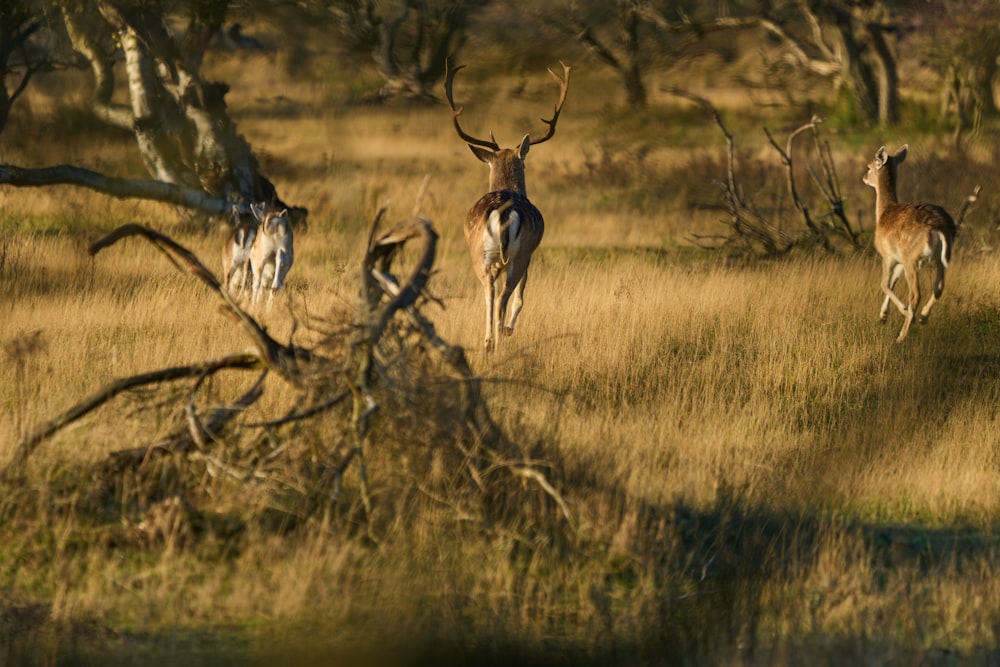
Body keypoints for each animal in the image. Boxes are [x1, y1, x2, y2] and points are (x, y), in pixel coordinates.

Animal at [446, 60, 572, 352]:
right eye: (524, 163)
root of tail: (503, 213)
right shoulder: (530, 255)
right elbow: (521, 297)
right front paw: (509, 329)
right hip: (519, 254)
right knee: (505, 293)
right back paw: (499, 336)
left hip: (480, 255)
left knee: (489, 291)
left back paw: (488, 340)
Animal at [864, 147, 956, 344]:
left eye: (868, 167)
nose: (864, 177)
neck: (883, 213)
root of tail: (939, 226)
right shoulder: (899, 259)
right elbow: (892, 282)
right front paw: (883, 317)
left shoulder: (888, 255)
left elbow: (884, 284)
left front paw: (903, 312)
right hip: (941, 257)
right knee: (940, 286)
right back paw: (922, 317)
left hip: (912, 257)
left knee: (915, 294)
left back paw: (903, 333)